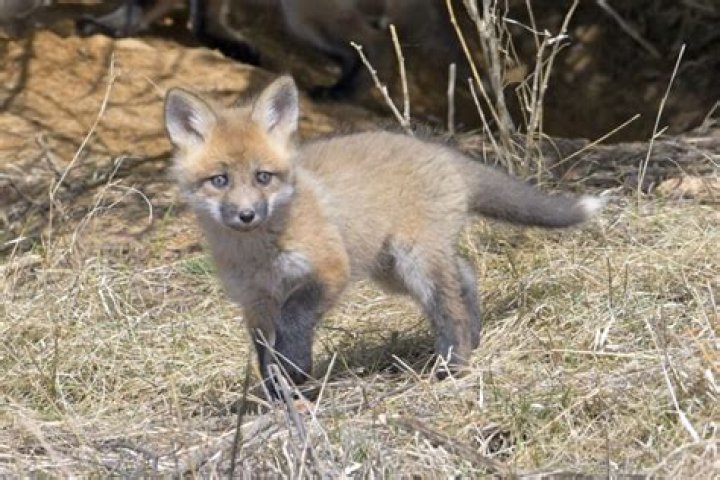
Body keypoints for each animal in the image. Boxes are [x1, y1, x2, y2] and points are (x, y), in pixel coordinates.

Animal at [164, 76, 604, 397]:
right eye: (219, 181)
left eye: (262, 177)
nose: (246, 215)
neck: (259, 254)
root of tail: (442, 152)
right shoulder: (254, 301)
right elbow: (263, 353)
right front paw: (280, 395)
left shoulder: (329, 270)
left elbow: (294, 320)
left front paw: (296, 370)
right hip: (391, 270)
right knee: (464, 273)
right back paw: (473, 338)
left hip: (413, 260)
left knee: (449, 304)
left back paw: (453, 365)